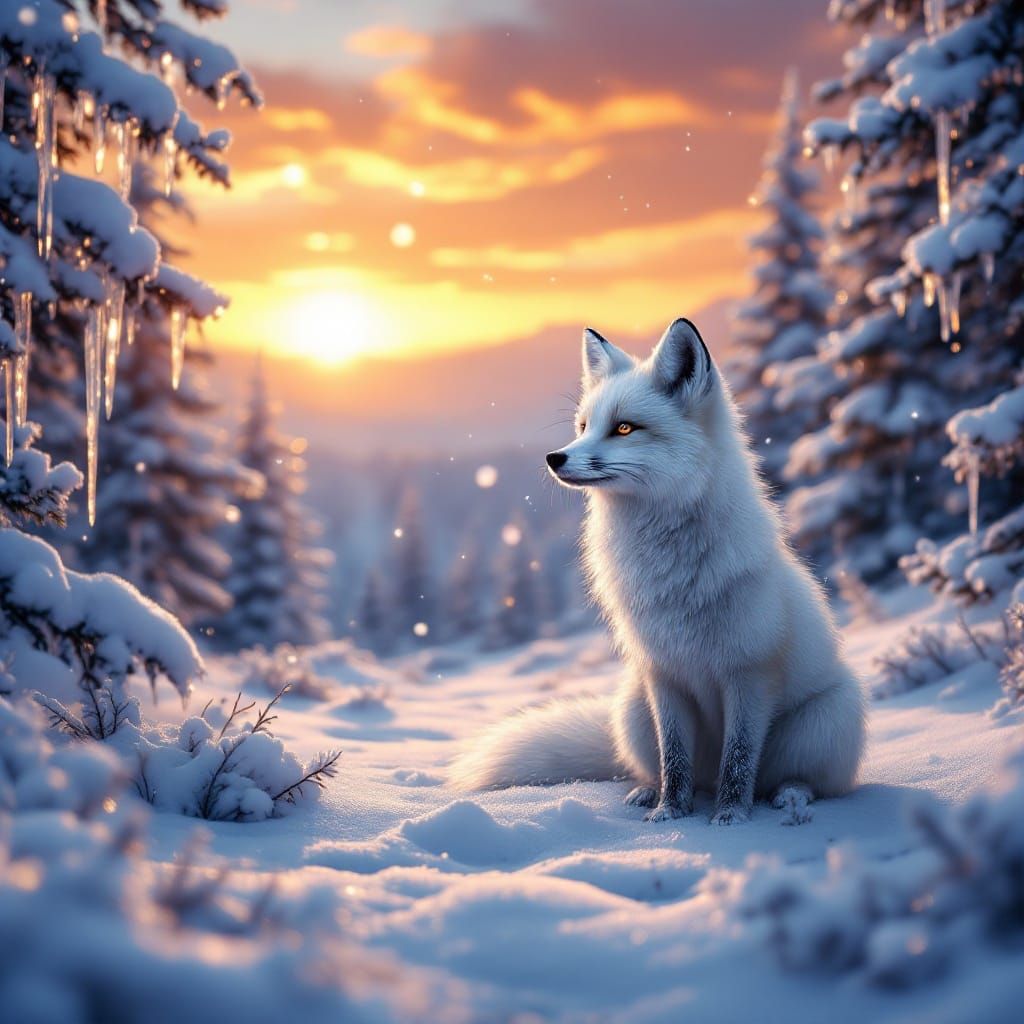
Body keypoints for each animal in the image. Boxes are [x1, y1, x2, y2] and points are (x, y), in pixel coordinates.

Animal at [453, 318, 866, 824]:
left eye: (624, 427)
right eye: (583, 426)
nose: (554, 458)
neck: (672, 573)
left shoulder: (750, 674)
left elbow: (738, 763)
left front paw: (730, 820)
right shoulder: (663, 674)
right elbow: (675, 759)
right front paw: (669, 815)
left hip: (827, 719)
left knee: (800, 780)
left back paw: (790, 798)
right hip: (633, 708)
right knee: (674, 769)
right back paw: (647, 792)